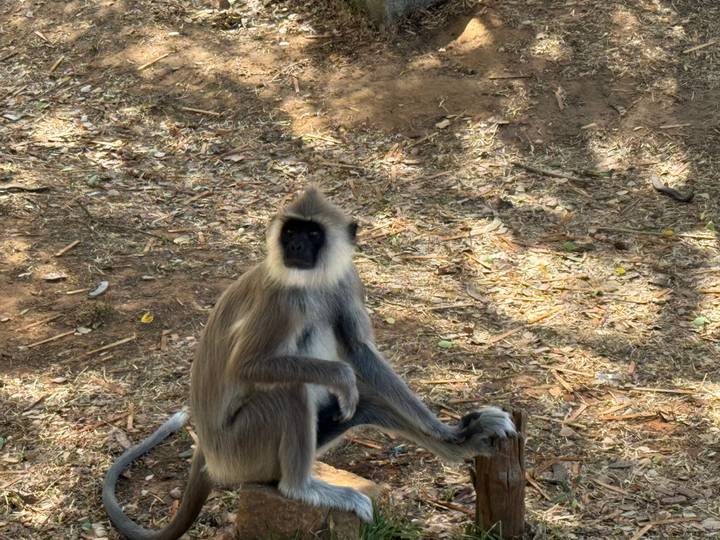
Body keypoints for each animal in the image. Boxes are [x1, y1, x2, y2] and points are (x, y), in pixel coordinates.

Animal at [103, 186, 516, 540]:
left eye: (313, 233)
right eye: (292, 231)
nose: (296, 244)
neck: (312, 281)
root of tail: (210, 453)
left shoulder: (347, 279)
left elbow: (361, 352)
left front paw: (450, 432)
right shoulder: (280, 298)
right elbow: (248, 367)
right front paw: (341, 376)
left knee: (366, 399)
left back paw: (464, 443)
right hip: (242, 448)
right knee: (291, 391)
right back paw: (300, 488)